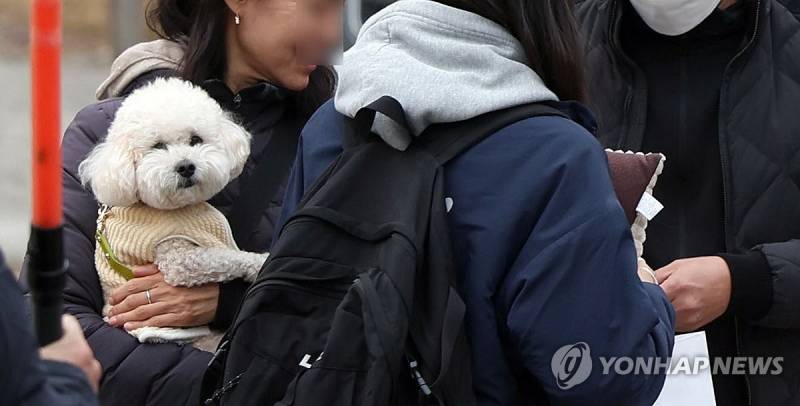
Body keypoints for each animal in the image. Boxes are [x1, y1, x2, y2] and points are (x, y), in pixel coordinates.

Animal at [81, 77, 268, 350]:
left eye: (195, 139)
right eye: (158, 146)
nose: (186, 166)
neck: (176, 208)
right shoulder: (178, 260)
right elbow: (228, 258)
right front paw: (261, 261)